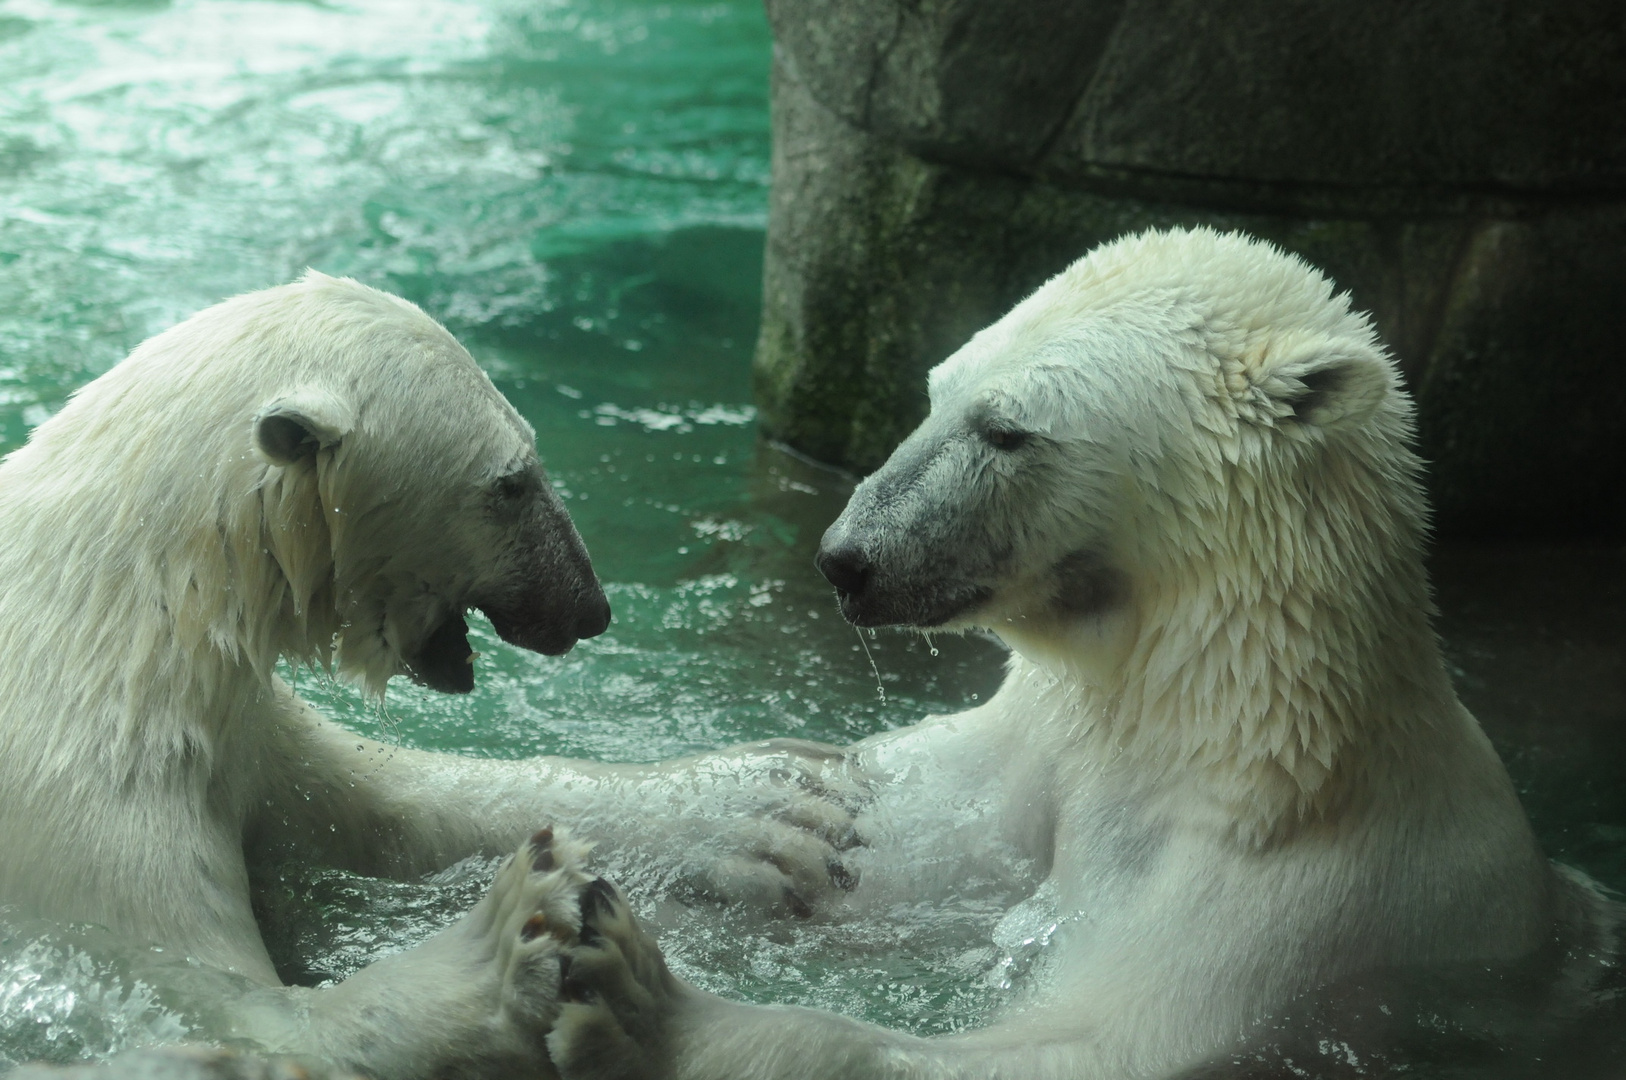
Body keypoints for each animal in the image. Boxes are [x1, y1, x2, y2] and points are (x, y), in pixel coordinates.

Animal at [0, 271, 858, 1080]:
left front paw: (764, 808)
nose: (589, 606)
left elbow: (388, 806)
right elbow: (225, 1014)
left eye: (530, 460)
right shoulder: (79, 794)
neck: (136, 608)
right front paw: (506, 939)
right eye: (509, 484)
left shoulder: (241, 725)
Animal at [546, 227, 1612, 1080]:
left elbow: (1104, 1040)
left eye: (1008, 428)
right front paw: (737, 820)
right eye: (935, 390)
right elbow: (886, 842)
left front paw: (646, 1010)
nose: (847, 557)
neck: (1206, 722)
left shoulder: (1291, 902)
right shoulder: (1044, 751)